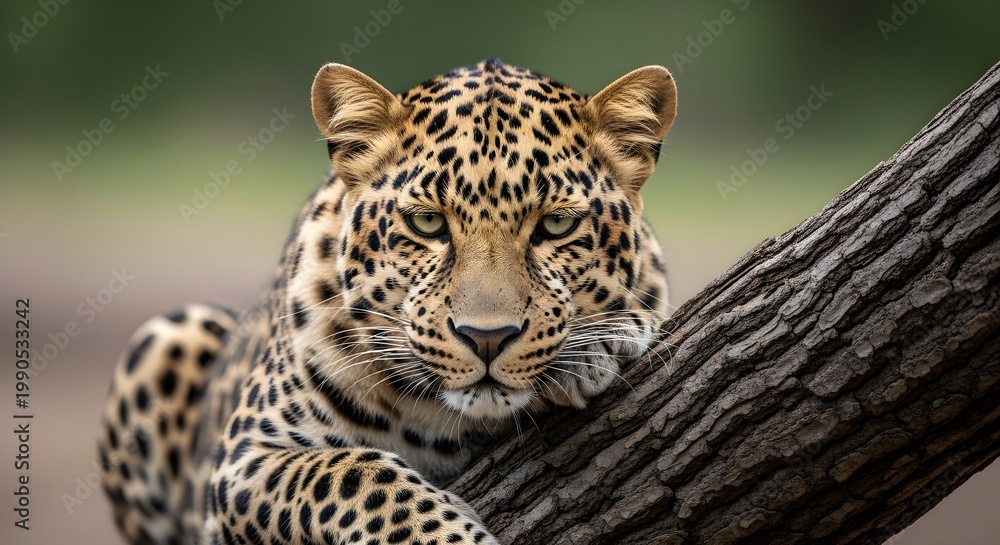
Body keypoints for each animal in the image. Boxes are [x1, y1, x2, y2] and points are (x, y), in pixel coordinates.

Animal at [97, 57, 676, 545]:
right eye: (426, 223)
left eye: (556, 225)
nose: (487, 338)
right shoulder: (243, 462)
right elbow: (354, 475)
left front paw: (600, 347)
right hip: (165, 337)